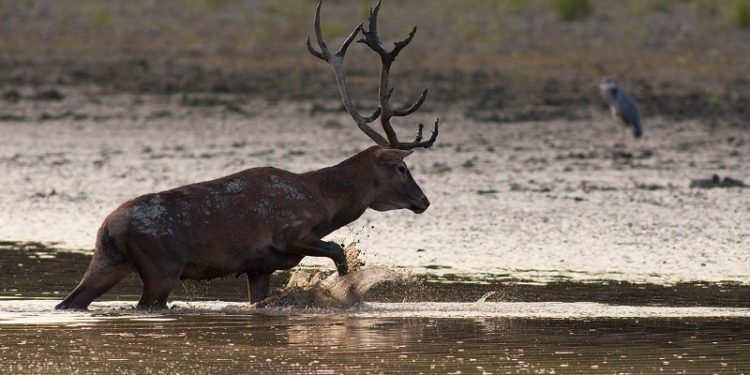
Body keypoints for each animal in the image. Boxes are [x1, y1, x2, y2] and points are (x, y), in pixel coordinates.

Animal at [55, 0, 440, 312]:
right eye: (402, 168)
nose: (424, 201)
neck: (322, 201)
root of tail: (109, 227)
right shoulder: (290, 233)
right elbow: (338, 249)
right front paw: (347, 292)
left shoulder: (260, 266)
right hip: (162, 265)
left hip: (107, 260)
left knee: (71, 301)